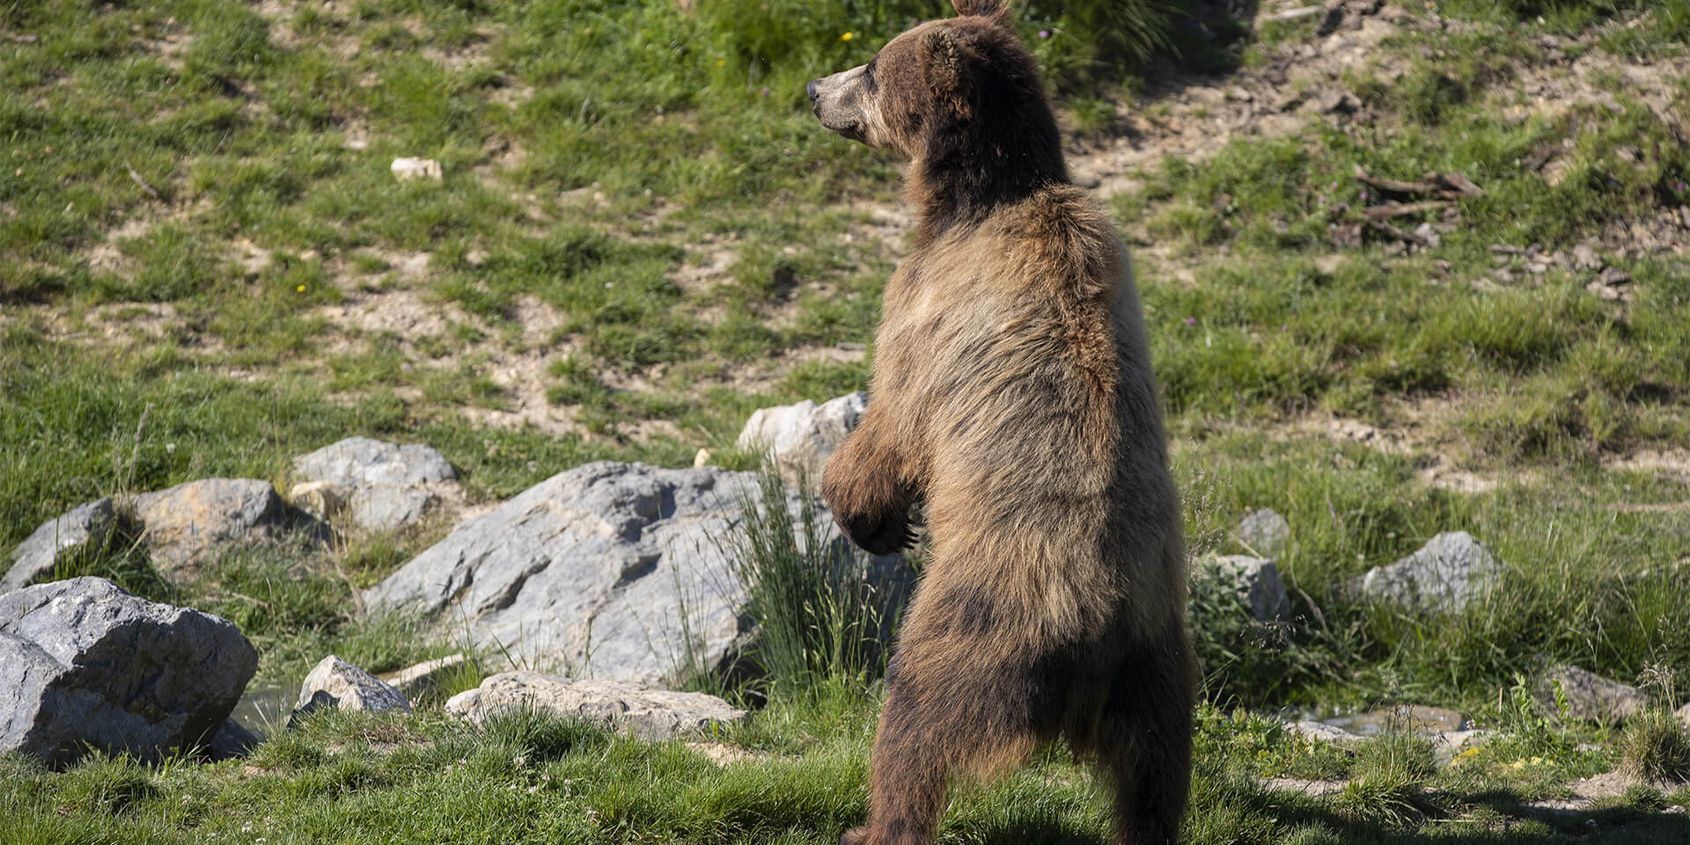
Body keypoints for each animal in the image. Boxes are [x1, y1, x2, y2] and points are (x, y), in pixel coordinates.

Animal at [807, 3, 1203, 841]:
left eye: (872, 69)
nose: (814, 89)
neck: (978, 198)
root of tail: (1090, 638)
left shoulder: (927, 303)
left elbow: (892, 416)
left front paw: (870, 515)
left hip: (970, 623)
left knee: (912, 724)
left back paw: (875, 821)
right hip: (1160, 675)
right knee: (1155, 783)